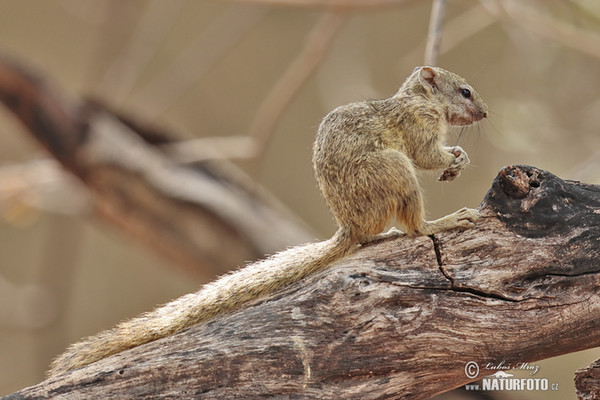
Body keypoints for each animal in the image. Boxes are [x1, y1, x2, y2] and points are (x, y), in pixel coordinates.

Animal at [47, 65, 488, 376]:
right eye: (464, 91)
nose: (484, 112)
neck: (418, 100)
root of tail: (349, 227)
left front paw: (460, 158)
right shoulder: (418, 127)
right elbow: (427, 157)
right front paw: (455, 158)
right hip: (396, 169)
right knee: (415, 226)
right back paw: (443, 222)